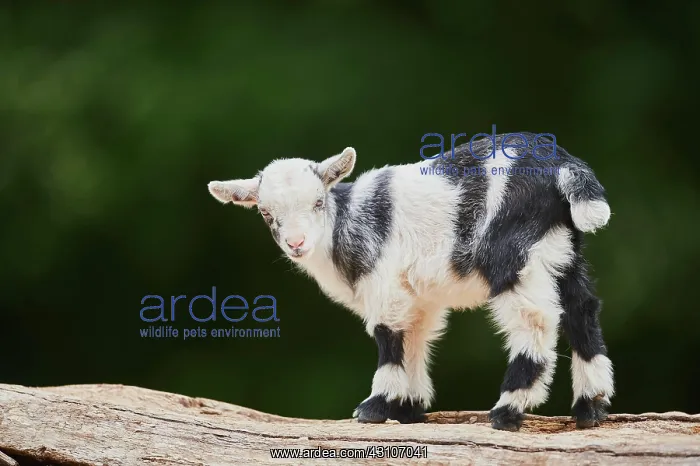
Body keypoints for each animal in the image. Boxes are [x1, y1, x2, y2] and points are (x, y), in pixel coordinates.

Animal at [207, 133, 613, 431]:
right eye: (265, 213)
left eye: (318, 203)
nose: (296, 244)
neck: (345, 224)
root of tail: (561, 165)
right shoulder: (419, 297)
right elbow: (414, 340)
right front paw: (408, 408)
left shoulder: (383, 285)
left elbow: (389, 338)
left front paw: (375, 407)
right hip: (562, 247)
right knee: (581, 309)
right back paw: (590, 406)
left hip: (511, 254)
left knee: (537, 320)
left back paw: (508, 410)